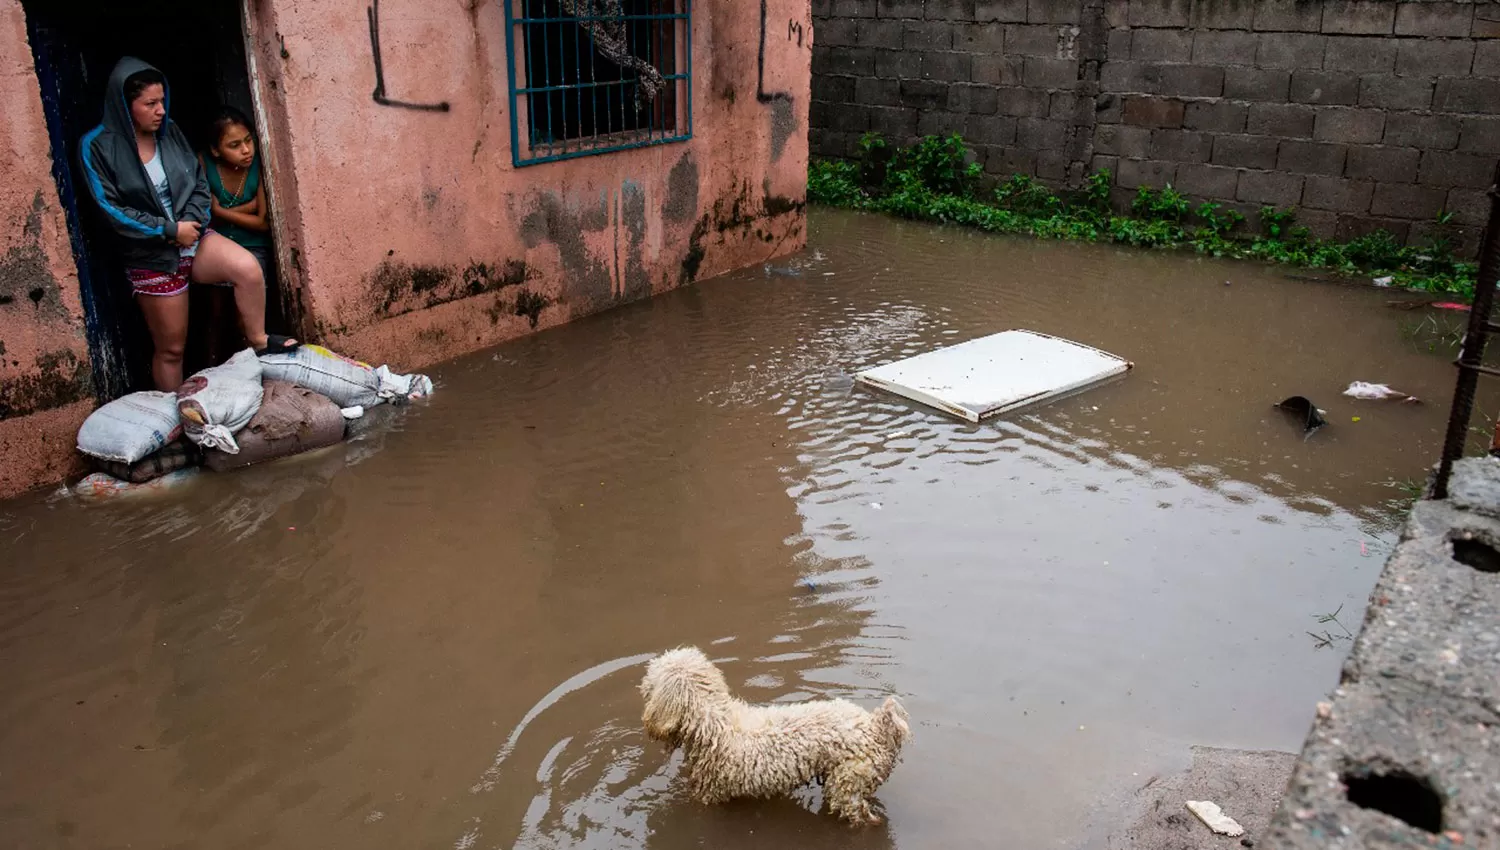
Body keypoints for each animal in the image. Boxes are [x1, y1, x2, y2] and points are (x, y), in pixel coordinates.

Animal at [639, 644, 906, 827]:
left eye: (651, 680)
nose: (641, 685)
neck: (713, 721)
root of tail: (877, 725)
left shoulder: (710, 794)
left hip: (847, 784)